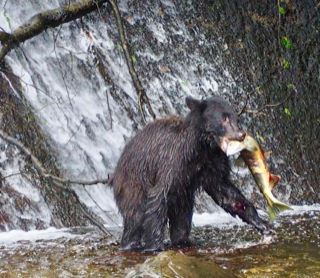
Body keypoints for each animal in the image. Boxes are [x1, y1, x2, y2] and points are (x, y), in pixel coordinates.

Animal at [112, 96, 268, 251]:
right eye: (224, 118)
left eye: (237, 119)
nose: (241, 134)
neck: (201, 145)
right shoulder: (173, 159)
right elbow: (159, 196)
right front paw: (155, 246)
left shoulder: (213, 162)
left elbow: (225, 192)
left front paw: (260, 222)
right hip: (133, 184)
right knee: (135, 217)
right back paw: (130, 244)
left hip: (182, 197)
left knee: (182, 218)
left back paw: (183, 241)